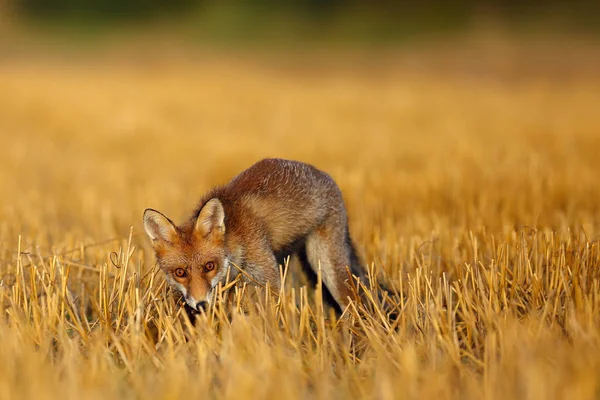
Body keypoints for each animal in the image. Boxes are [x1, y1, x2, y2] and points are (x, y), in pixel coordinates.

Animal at [143, 158, 372, 318]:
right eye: (180, 272)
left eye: (209, 266)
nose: (201, 304)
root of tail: (323, 173)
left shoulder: (269, 281)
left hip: (326, 267)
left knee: (353, 304)